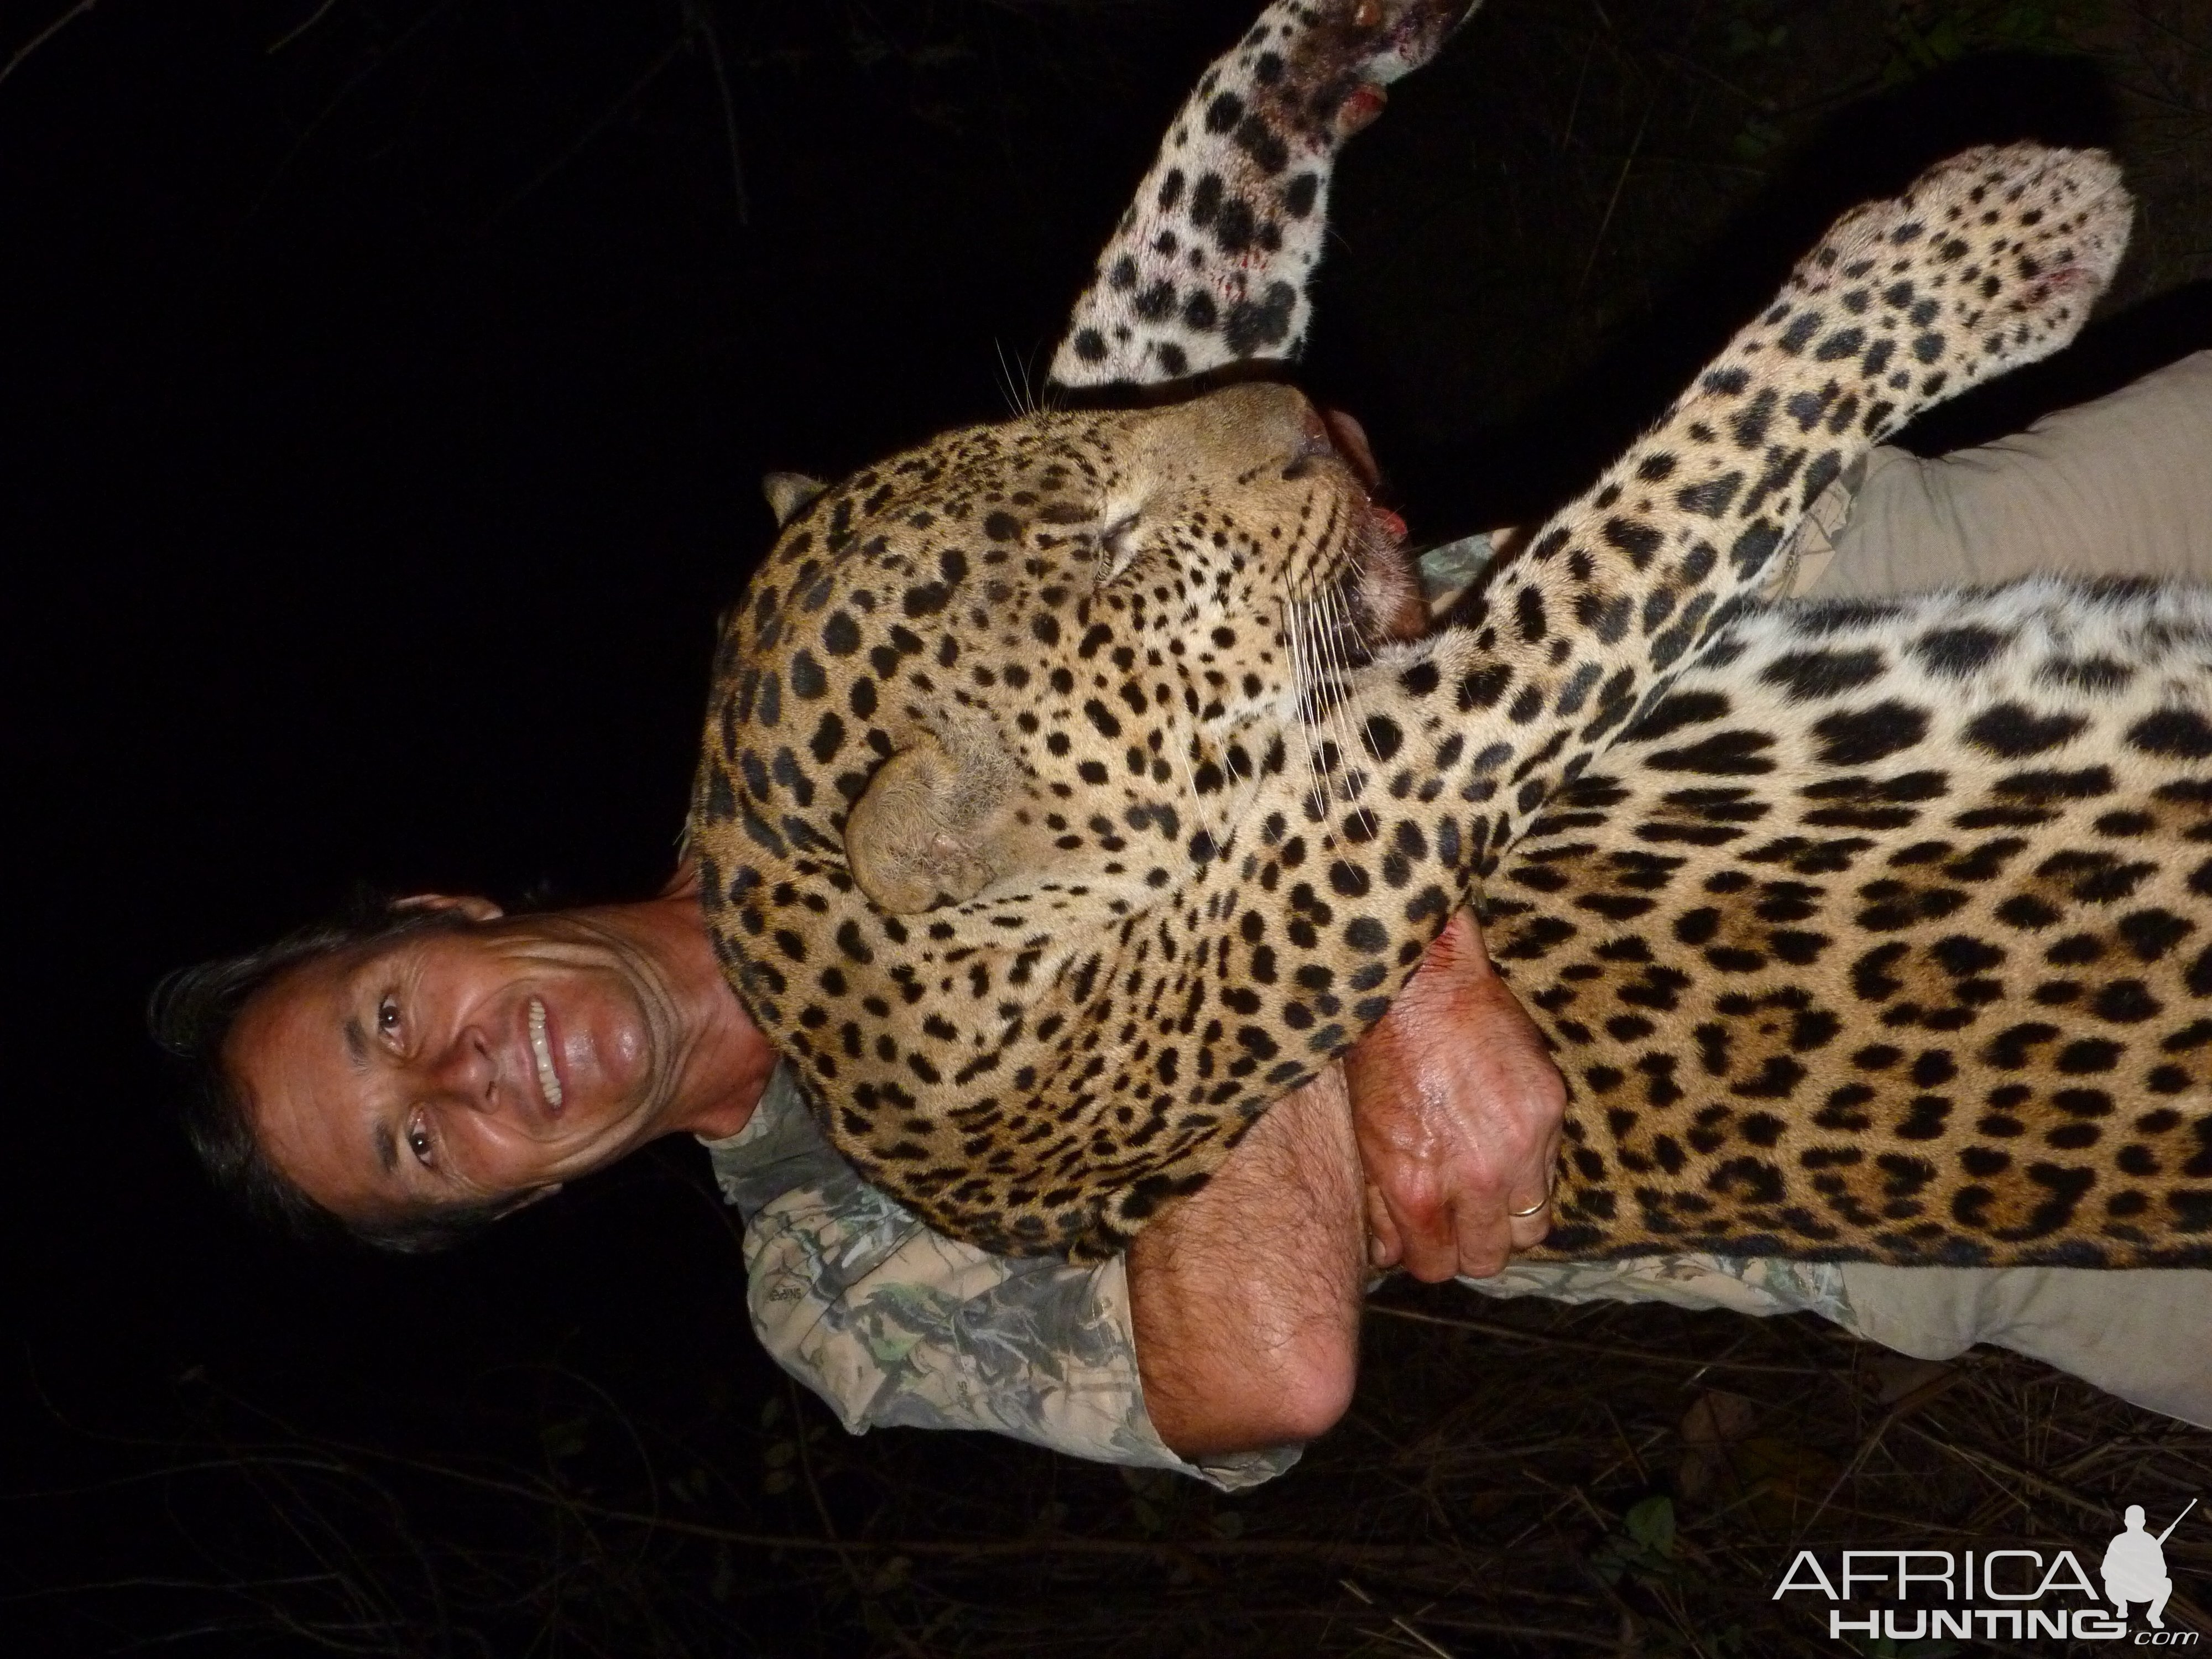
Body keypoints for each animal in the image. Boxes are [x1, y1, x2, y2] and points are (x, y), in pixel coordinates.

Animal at [686, 0, 2194, 1283]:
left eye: (1062, 449)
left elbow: (1178, 254)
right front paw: (1984, 253)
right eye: (1104, 548)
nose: (1304, 416)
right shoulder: (1372, 816)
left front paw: (1331, 39)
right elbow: (1643, 523)